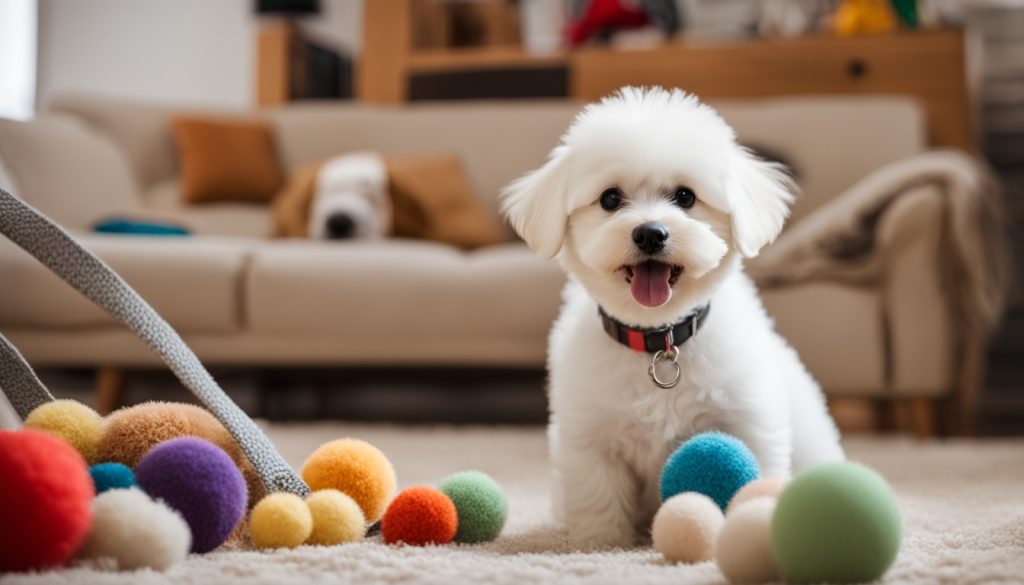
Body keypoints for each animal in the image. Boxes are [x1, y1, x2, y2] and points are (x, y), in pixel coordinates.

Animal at [499, 87, 843, 549]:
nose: (650, 233)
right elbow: (599, 498)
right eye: (610, 199)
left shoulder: (747, 420)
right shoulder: (591, 438)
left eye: (685, 196)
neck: (658, 340)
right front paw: (602, 545)